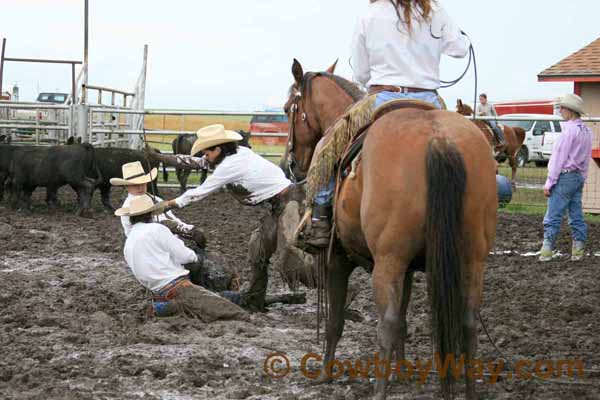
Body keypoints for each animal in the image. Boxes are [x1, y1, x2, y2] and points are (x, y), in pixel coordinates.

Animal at [284, 60, 496, 400]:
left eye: (288, 107)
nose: (290, 164)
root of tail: (438, 140)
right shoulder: (408, 269)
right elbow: (405, 322)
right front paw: (403, 372)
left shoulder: (338, 260)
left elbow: (336, 321)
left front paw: (326, 374)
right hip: (471, 259)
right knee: (467, 323)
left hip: (388, 262)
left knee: (386, 322)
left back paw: (379, 391)